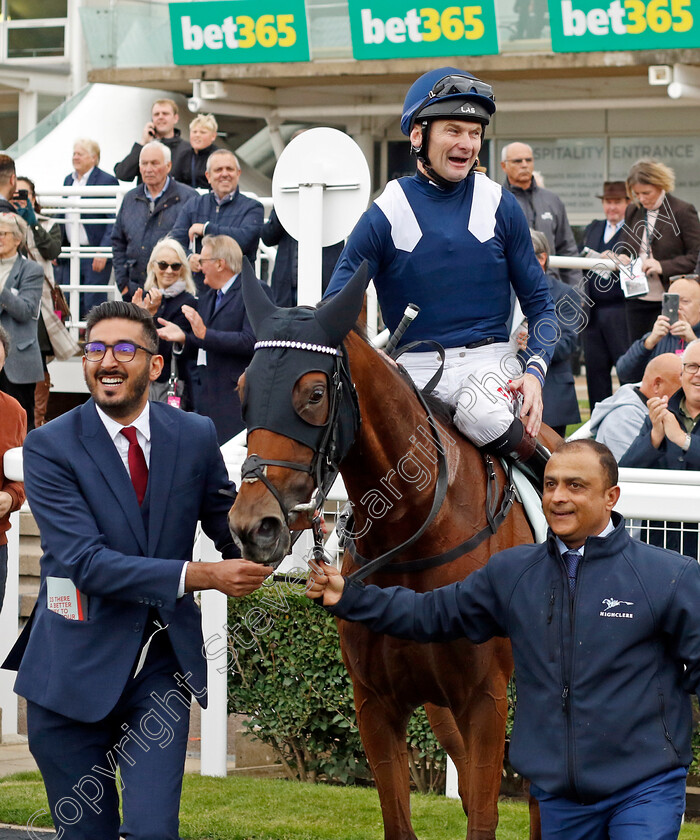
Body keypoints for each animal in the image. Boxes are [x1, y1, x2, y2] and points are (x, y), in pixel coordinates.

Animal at [232, 262, 560, 840]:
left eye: (313, 394)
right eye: (243, 389)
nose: (254, 526)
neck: (417, 526)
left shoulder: (486, 699)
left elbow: (486, 816)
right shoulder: (376, 703)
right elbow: (405, 819)